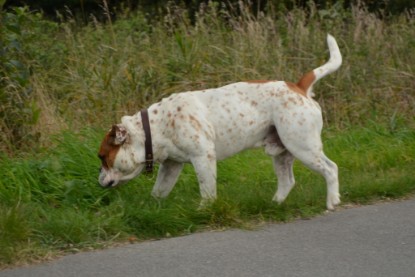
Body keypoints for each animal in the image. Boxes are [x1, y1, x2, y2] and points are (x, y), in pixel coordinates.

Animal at [99, 35, 342, 210]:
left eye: (102, 157)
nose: (98, 178)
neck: (154, 128)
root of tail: (298, 86)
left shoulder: (203, 157)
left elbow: (207, 190)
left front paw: (203, 211)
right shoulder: (171, 166)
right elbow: (159, 191)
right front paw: (152, 208)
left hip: (302, 146)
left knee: (330, 169)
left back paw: (332, 201)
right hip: (282, 152)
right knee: (287, 181)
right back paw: (274, 205)